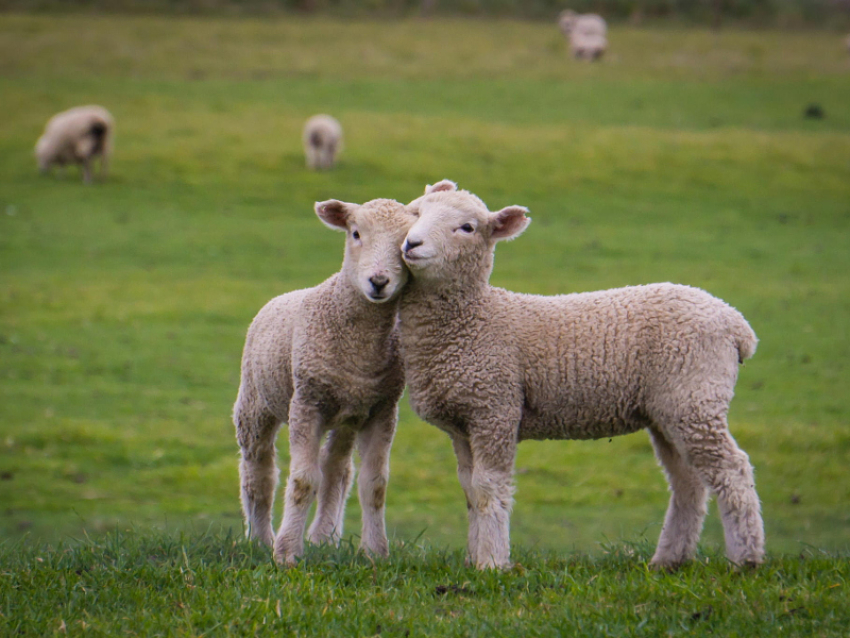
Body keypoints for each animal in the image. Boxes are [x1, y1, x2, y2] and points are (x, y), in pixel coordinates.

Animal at [232, 196, 418, 564]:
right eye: (355, 233)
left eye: (406, 243)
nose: (378, 281)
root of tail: (283, 295)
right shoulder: (307, 402)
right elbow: (303, 481)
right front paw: (286, 553)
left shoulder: (382, 409)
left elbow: (374, 485)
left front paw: (375, 552)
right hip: (255, 403)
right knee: (259, 471)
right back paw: (259, 538)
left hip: (346, 416)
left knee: (337, 470)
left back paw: (323, 538)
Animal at [400, 185, 764, 568]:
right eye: (415, 213)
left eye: (467, 228)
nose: (412, 243)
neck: (476, 318)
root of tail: (735, 323)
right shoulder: (463, 422)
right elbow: (470, 490)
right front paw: (474, 560)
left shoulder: (495, 409)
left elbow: (489, 488)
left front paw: (493, 563)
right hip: (670, 409)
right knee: (687, 482)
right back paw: (669, 560)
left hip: (694, 395)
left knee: (732, 470)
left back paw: (746, 559)